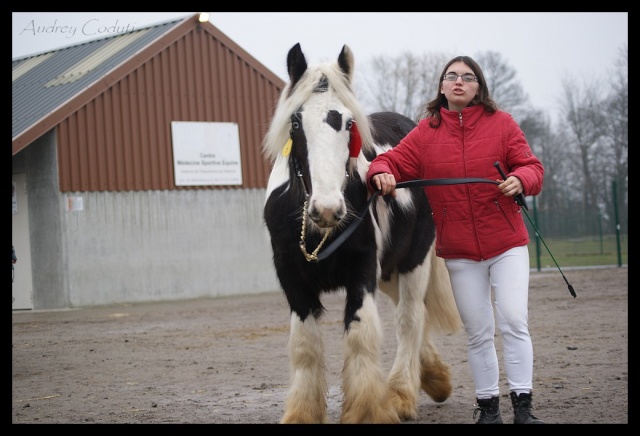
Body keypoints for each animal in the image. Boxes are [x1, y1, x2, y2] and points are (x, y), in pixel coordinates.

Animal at [264, 43, 460, 422]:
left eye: (349, 123)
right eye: (295, 122)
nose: (328, 209)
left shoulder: (362, 272)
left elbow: (360, 334)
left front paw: (369, 409)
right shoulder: (292, 279)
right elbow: (305, 345)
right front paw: (302, 412)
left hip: (413, 263)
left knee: (410, 318)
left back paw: (401, 393)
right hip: (389, 273)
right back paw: (434, 377)